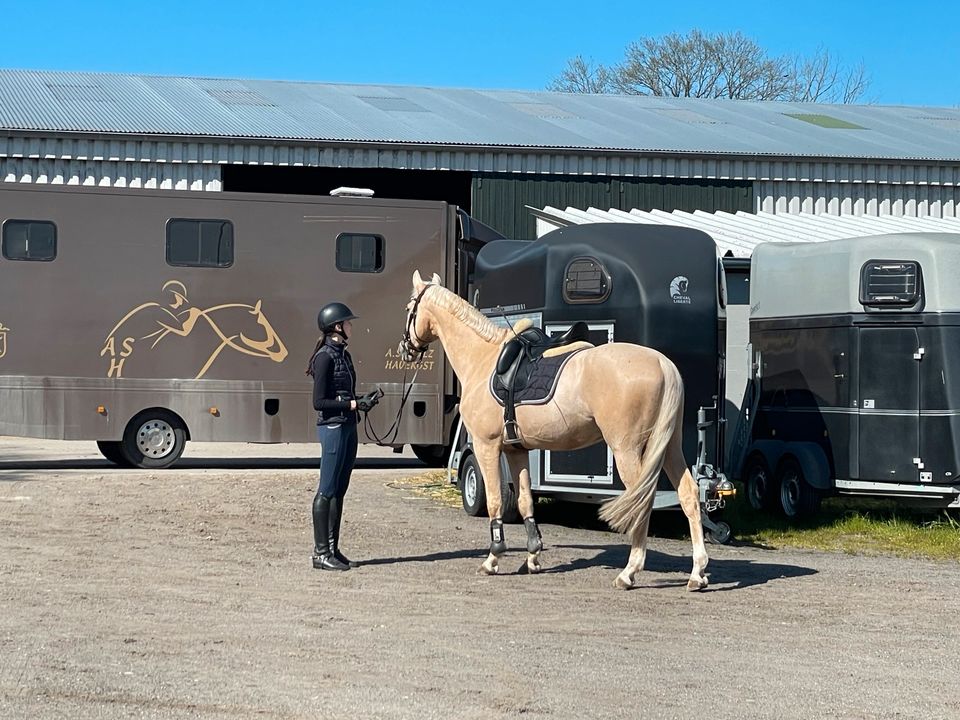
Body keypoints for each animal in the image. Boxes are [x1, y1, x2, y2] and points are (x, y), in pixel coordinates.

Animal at [402, 270, 708, 592]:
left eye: (409, 307)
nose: (405, 348)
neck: (483, 358)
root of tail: (663, 363)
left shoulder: (488, 447)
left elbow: (495, 501)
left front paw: (493, 559)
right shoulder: (516, 450)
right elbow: (525, 500)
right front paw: (533, 557)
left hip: (627, 450)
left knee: (642, 501)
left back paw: (629, 572)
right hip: (669, 447)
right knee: (688, 494)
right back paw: (697, 573)